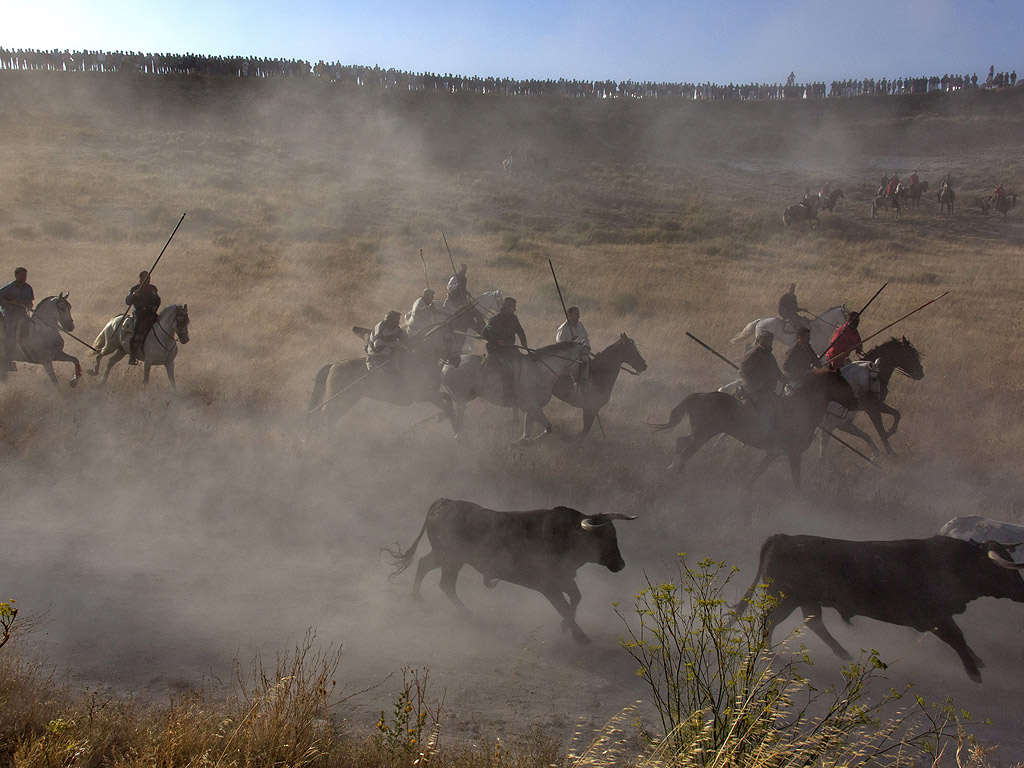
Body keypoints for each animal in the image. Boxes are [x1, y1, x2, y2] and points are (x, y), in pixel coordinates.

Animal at [305, 319, 462, 438]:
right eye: (448, 338)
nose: (457, 360)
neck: (420, 358)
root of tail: (333, 366)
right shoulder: (421, 395)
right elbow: (447, 401)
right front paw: (457, 431)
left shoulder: (431, 396)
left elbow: (447, 401)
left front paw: (457, 430)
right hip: (337, 399)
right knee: (320, 417)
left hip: (347, 401)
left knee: (329, 419)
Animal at [385, 499, 630, 643]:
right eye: (602, 538)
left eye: (615, 535)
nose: (620, 564)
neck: (567, 535)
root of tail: (445, 503)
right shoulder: (549, 586)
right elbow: (564, 606)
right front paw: (577, 634)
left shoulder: (565, 579)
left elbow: (576, 598)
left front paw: (572, 629)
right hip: (450, 558)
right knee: (445, 582)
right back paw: (468, 614)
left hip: (447, 557)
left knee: (425, 565)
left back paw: (417, 598)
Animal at [440, 342, 585, 444]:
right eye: (584, 361)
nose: (580, 383)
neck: (540, 370)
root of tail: (446, 365)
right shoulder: (532, 407)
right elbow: (548, 427)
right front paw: (529, 441)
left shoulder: (530, 409)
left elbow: (528, 430)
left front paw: (523, 442)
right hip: (461, 398)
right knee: (457, 415)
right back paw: (461, 437)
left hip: (461, 398)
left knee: (452, 412)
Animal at [651, 370, 860, 489]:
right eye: (843, 384)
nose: (856, 403)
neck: (801, 410)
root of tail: (700, 395)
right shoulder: (792, 454)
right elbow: (796, 481)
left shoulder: (775, 452)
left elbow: (758, 474)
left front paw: (747, 490)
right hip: (703, 434)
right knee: (686, 452)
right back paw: (678, 476)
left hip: (701, 433)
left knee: (682, 443)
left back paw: (674, 470)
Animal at [737, 536, 1024, 684]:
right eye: (1003, 569)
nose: (1022, 590)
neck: (956, 563)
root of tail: (784, 537)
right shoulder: (935, 617)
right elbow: (958, 638)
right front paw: (974, 671)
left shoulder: (939, 619)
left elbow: (959, 639)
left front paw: (977, 662)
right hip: (784, 598)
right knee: (770, 621)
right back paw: (770, 655)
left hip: (805, 599)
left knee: (813, 622)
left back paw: (842, 652)